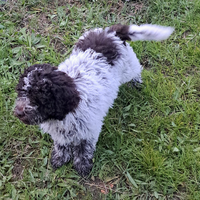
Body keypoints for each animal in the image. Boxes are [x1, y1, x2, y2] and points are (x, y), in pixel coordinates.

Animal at [13, 23, 173, 177]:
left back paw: (136, 83)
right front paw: (60, 157)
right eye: (21, 92)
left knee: (137, 70)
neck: (64, 114)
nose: (18, 113)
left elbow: (84, 149)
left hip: (128, 67)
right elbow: (61, 144)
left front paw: (82, 165)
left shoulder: (89, 131)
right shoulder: (60, 133)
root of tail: (110, 33)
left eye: (39, 97)